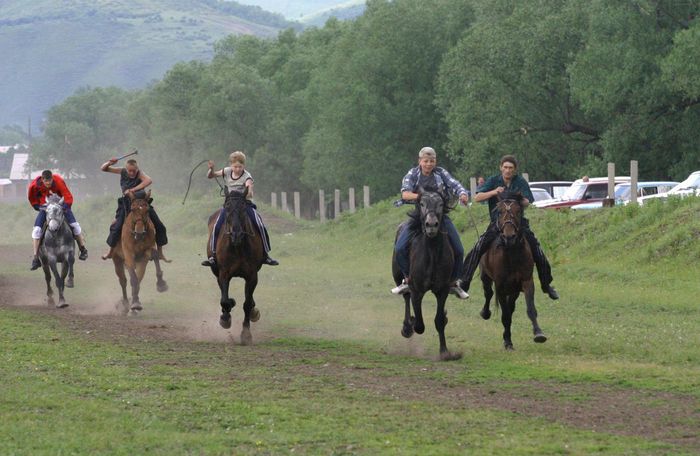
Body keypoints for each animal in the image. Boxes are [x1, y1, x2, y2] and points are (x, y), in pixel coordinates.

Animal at [208, 187, 266, 344]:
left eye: (243, 207)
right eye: (227, 207)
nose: (236, 234)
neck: (238, 246)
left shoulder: (252, 276)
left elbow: (247, 304)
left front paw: (246, 334)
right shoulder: (224, 274)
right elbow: (224, 301)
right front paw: (225, 318)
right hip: (216, 272)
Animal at [392, 188, 462, 360]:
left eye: (441, 204)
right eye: (422, 203)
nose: (431, 225)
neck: (432, 252)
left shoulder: (442, 290)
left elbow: (439, 320)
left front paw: (444, 352)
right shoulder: (417, 290)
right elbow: (419, 325)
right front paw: (410, 324)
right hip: (399, 277)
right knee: (406, 296)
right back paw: (406, 327)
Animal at [478, 191, 548, 350]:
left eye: (518, 211)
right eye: (499, 211)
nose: (509, 237)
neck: (511, 253)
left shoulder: (526, 281)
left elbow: (529, 309)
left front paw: (538, 333)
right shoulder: (500, 287)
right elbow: (505, 315)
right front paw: (508, 341)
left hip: (514, 289)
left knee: (510, 306)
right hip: (485, 276)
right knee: (488, 293)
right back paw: (485, 313)